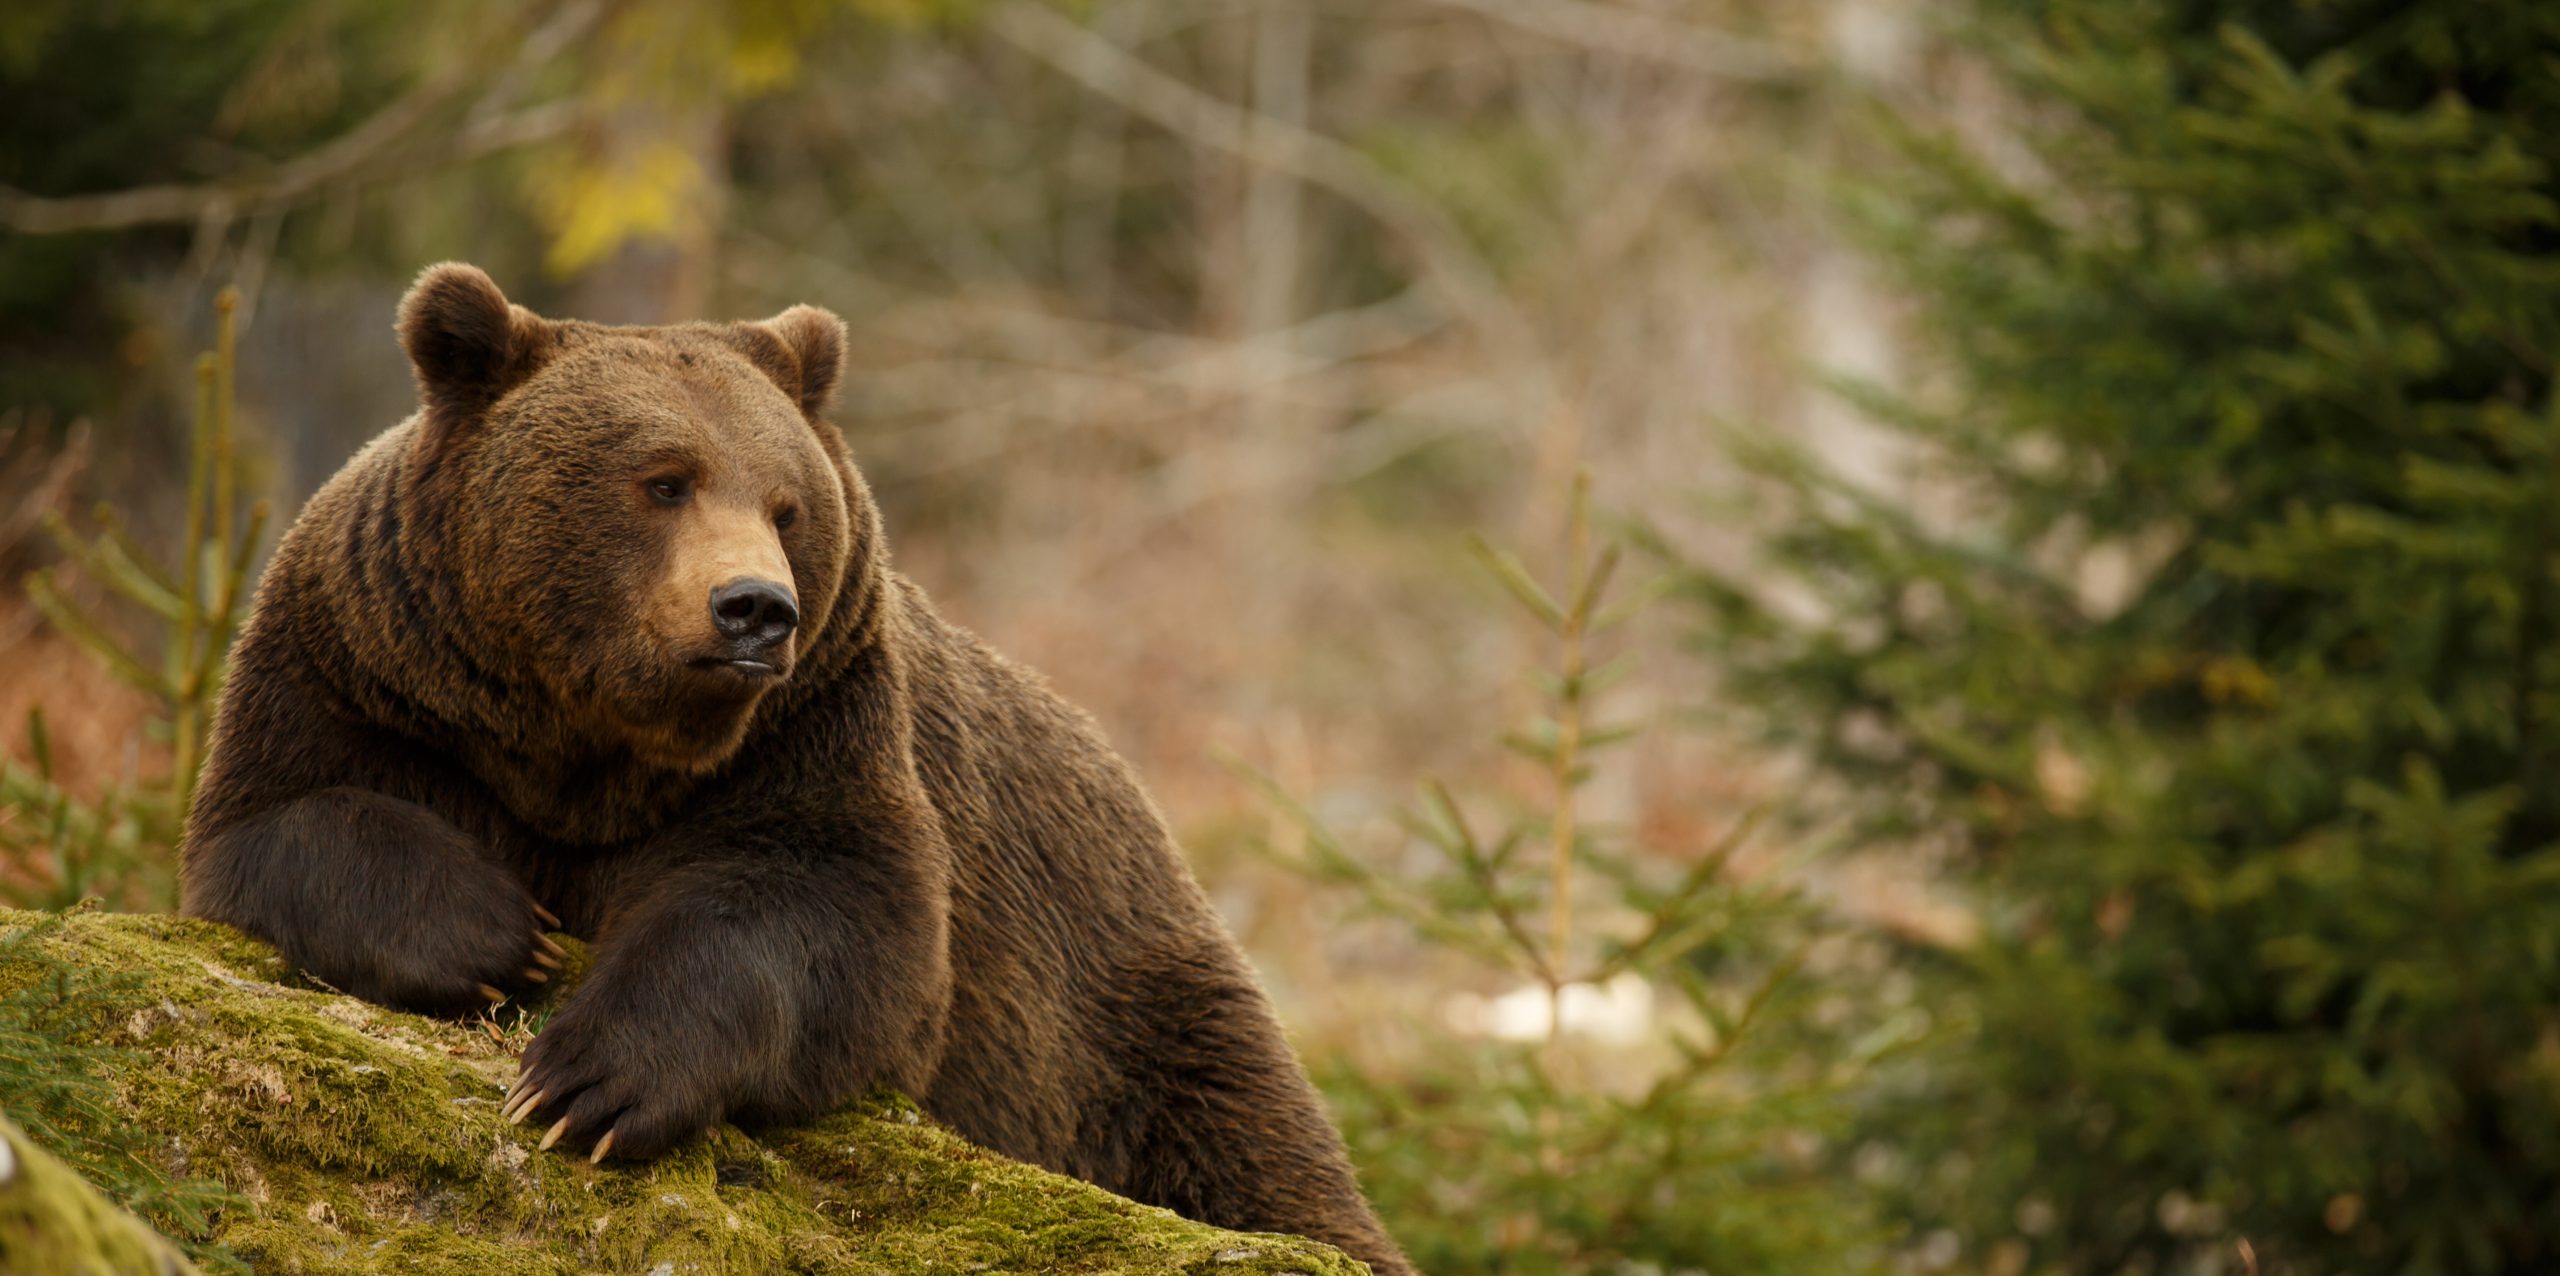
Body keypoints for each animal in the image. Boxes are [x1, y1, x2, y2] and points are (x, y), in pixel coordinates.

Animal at [175, 261, 1423, 1276]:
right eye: (663, 478)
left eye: (785, 504)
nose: (753, 610)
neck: (592, 740)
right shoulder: (373, 671)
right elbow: (282, 818)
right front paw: (495, 931)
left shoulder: (813, 732)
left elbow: (829, 917)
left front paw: (588, 1080)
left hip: (1120, 1007)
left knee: (1249, 1146)